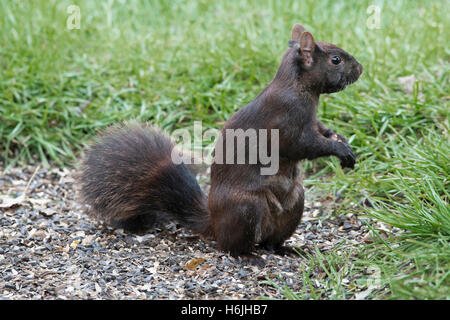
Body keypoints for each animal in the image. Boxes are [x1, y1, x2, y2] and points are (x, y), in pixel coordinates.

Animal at [79, 24, 364, 264]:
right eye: (335, 59)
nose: (361, 69)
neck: (299, 89)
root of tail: (213, 223)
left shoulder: (314, 122)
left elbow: (324, 131)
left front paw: (342, 142)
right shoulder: (285, 122)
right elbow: (303, 145)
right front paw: (339, 149)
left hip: (294, 205)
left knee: (270, 242)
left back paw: (287, 249)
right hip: (247, 209)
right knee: (232, 247)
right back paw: (249, 257)